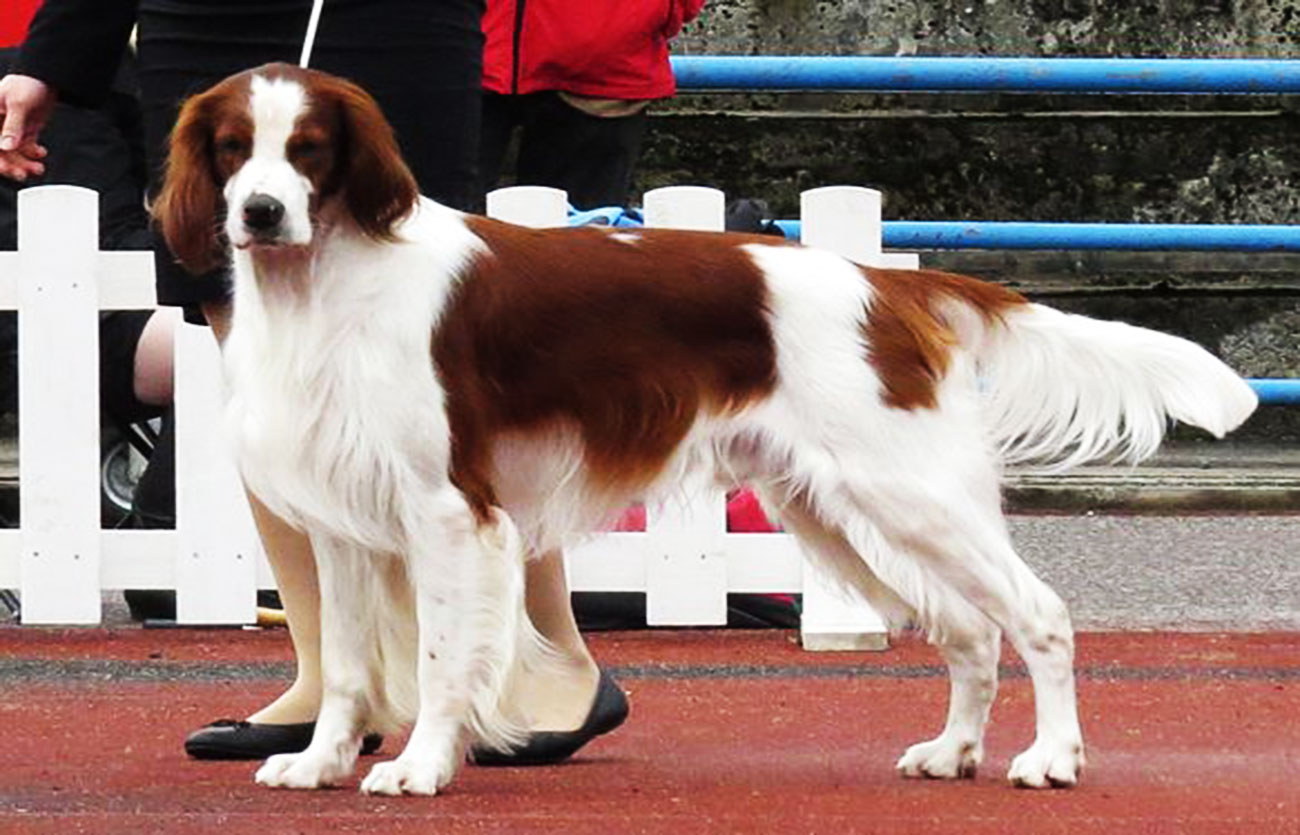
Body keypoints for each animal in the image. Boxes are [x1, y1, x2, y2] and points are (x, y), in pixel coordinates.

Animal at [154, 65, 1258, 790]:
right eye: (230, 149)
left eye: (308, 151)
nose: (260, 212)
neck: (331, 283)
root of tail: (885, 284)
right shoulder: (342, 520)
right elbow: (345, 662)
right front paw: (317, 761)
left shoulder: (448, 511)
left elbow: (436, 658)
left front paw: (420, 766)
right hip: (836, 508)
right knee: (967, 629)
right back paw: (952, 751)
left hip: (910, 494)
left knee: (1037, 613)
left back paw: (1051, 757)